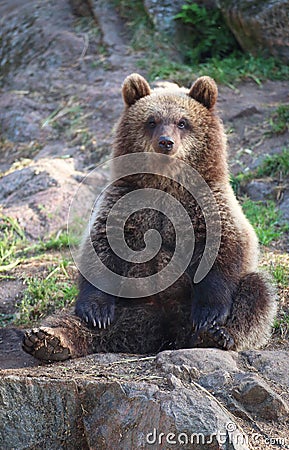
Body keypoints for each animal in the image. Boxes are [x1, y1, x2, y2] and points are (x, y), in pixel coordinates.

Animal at [22, 74, 274, 362]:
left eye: (182, 122)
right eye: (151, 121)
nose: (166, 142)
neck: (165, 182)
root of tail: (165, 333)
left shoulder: (209, 206)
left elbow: (224, 252)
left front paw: (209, 316)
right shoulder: (122, 204)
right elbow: (101, 251)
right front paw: (96, 313)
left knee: (257, 293)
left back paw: (217, 335)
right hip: (131, 310)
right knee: (68, 318)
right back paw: (48, 339)